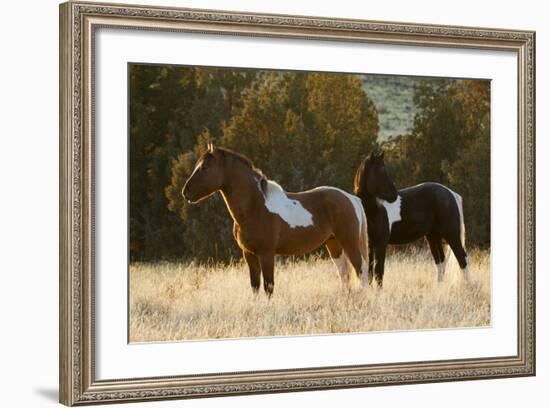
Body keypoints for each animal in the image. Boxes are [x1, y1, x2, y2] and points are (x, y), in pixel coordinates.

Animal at [182, 145, 370, 294]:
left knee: (361, 269)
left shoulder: (266, 253)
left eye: (205, 167)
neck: (255, 207)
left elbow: (269, 286)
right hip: (334, 244)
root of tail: (350, 198)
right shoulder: (249, 254)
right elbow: (255, 286)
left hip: (349, 241)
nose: (185, 192)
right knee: (344, 273)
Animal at [358, 152, 470, 286]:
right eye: (379, 173)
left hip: (451, 234)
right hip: (433, 236)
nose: (394, 196)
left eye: (385, 171)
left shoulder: (381, 244)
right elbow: (369, 273)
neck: (374, 210)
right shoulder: (369, 245)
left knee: (462, 259)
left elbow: (379, 272)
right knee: (441, 261)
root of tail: (451, 194)